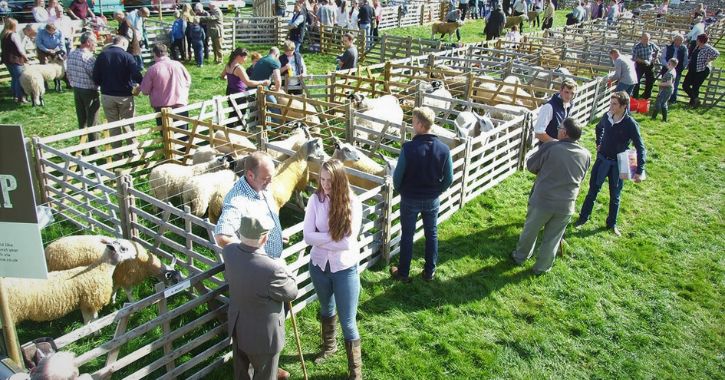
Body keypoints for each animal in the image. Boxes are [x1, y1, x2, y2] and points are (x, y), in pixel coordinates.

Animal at [7, 239, 137, 322]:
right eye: (124, 249)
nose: (136, 254)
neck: (101, 268)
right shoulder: (92, 300)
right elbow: (94, 319)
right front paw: (96, 332)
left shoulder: (84, 302)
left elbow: (87, 320)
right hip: (13, 313)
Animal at [44, 235, 181, 302]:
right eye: (175, 281)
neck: (147, 264)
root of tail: (47, 251)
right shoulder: (126, 278)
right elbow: (129, 294)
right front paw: (133, 304)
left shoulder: (118, 277)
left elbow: (115, 288)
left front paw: (113, 301)